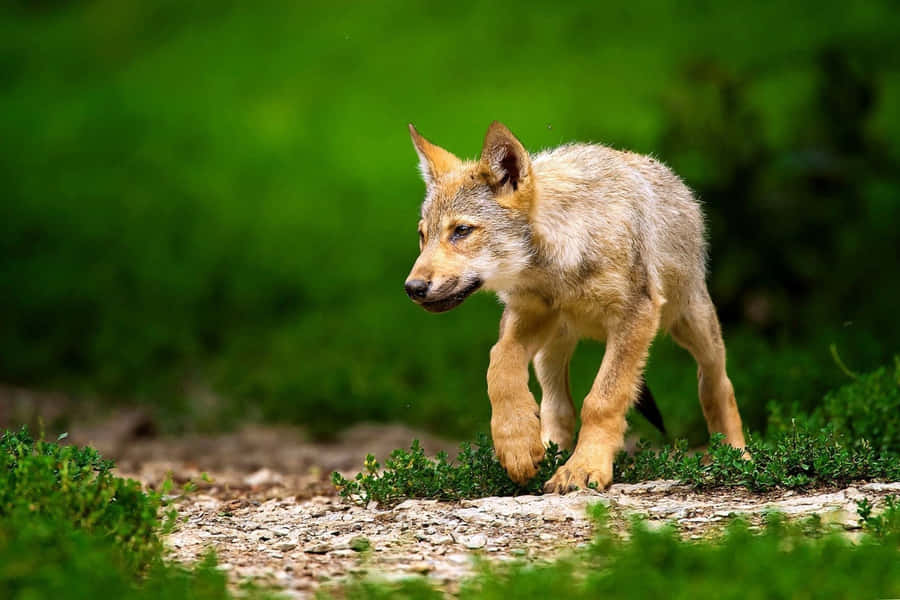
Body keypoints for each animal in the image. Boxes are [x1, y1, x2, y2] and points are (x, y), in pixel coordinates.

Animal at [404, 121, 746, 493]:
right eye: (422, 236)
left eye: (462, 231)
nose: (412, 288)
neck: (559, 262)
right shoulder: (528, 314)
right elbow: (499, 365)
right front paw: (517, 445)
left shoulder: (636, 318)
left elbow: (602, 400)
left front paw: (584, 467)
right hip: (551, 349)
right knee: (557, 407)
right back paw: (548, 449)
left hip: (693, 326)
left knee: (717, 384)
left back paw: (736, 456)